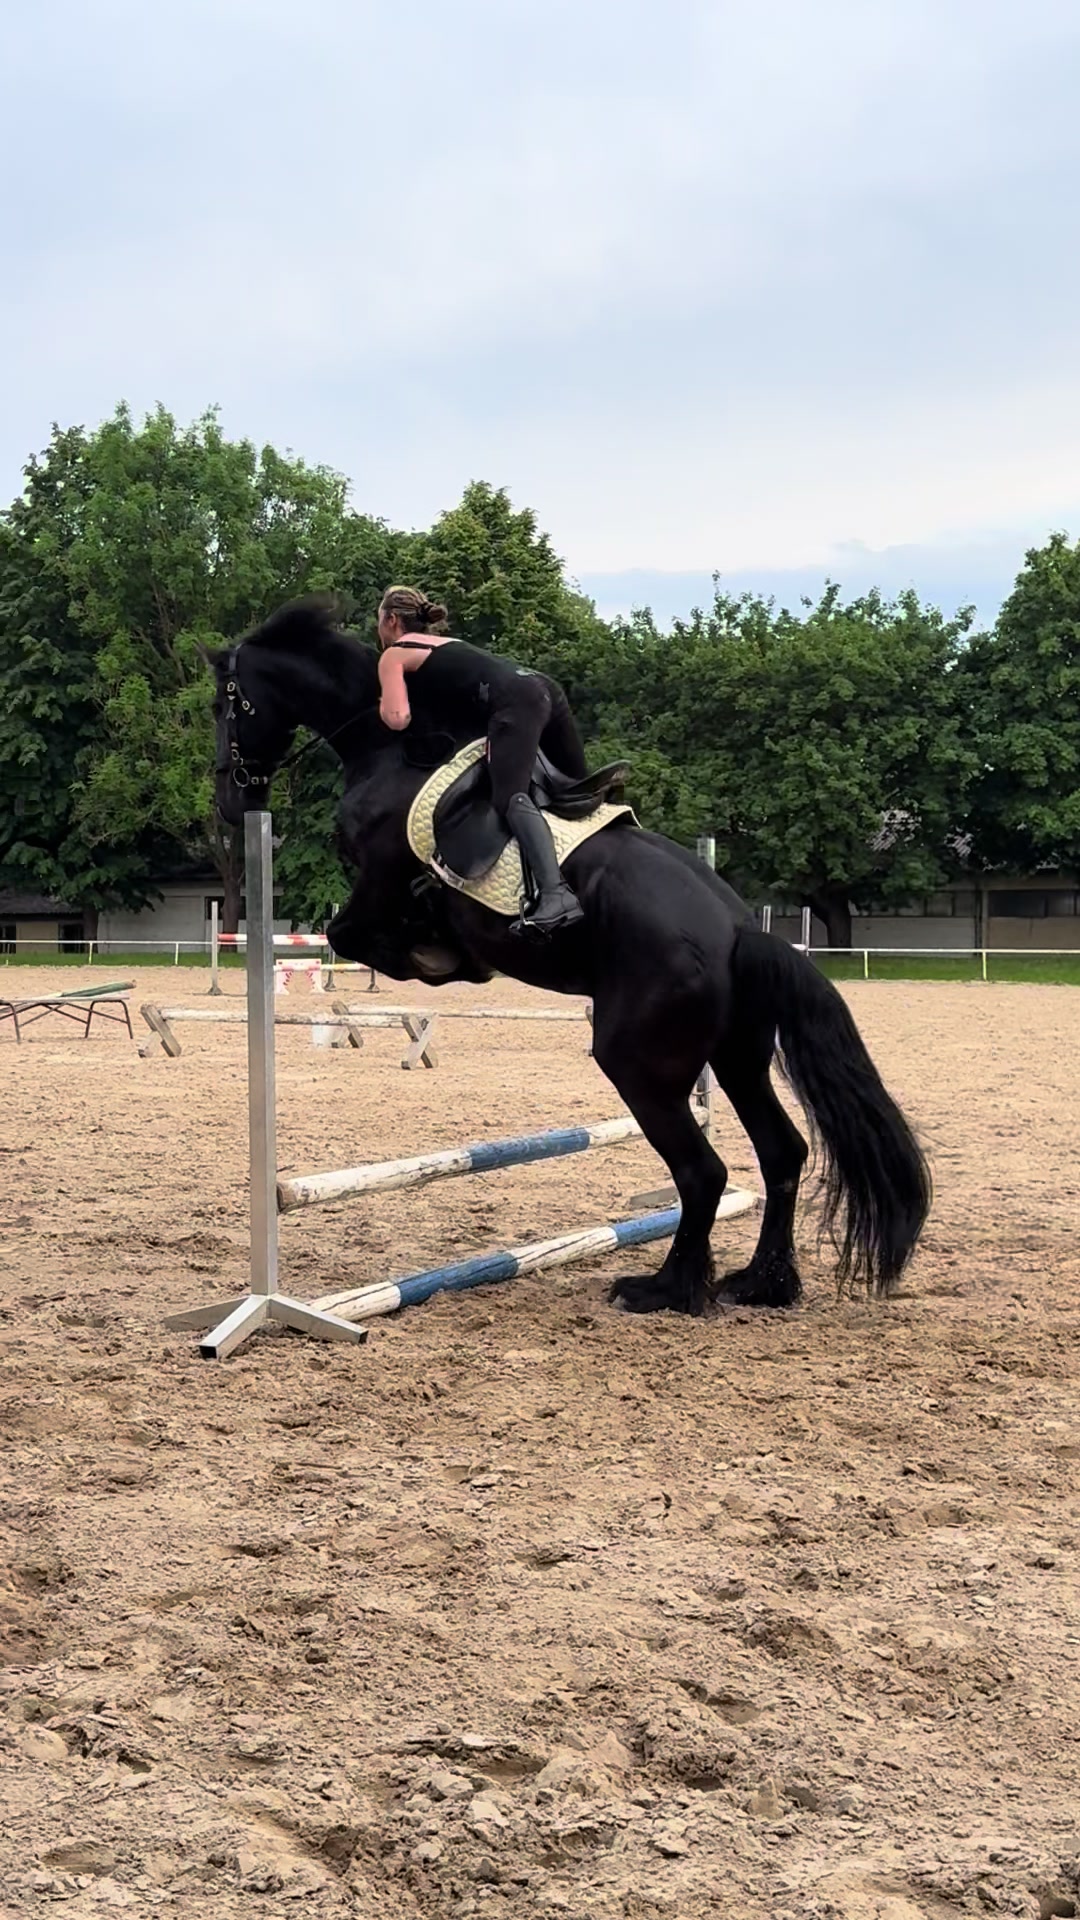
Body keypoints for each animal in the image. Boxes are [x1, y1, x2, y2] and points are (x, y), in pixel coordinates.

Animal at [210, 596, 930, 1317]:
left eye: (226, 704)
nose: (229, 800)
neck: (385, 749)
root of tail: (738, 932)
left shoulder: (378, 875)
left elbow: (353, 936)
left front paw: (443, 956)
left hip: (638, 1062)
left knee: (703, 1171)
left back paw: (665, 1288)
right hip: (736, 1058)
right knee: (781, 1153)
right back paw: (761, 1281)